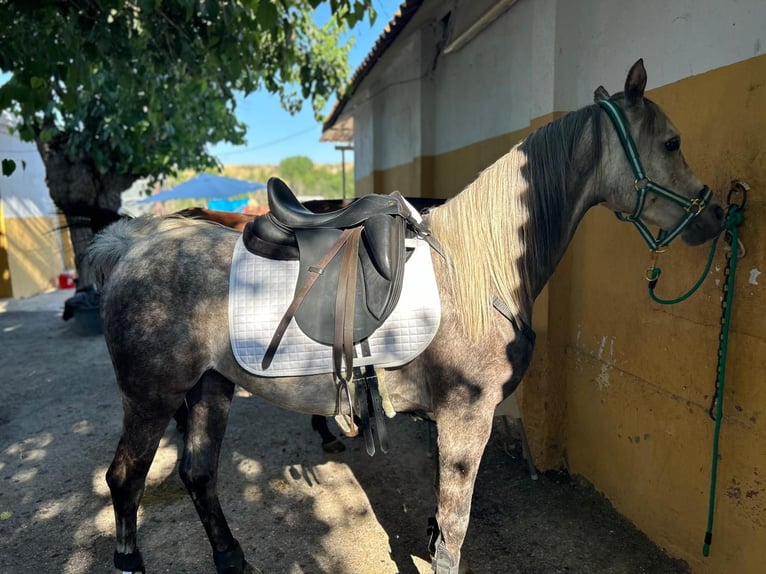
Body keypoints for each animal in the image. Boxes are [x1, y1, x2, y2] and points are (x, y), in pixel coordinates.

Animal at [90, 60, 728, 572]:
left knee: (199, 475)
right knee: (125, 478)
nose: (715, 216)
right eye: (671, 143)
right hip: (152, 397)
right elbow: (456, 526)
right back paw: (130, 562)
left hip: (209, 388)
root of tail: (134, 243)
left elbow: (443, 518)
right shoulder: (468, 417)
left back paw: (231, 559)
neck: (477, 266)